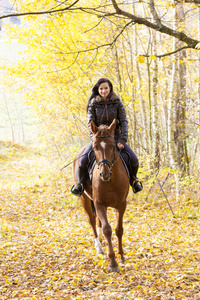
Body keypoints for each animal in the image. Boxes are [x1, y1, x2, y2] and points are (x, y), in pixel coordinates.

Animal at [73, 119, 130, 272]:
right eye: (95, 147)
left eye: (113, 146)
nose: (104, 174)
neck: (111, 181)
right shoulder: (99, 204)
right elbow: (107, 229)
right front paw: (113, 263)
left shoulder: (121, 204)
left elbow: (119, 230)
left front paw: (121, 257)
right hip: (85, 199)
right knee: (92, 221)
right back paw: (99, 248)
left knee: (97, 221)